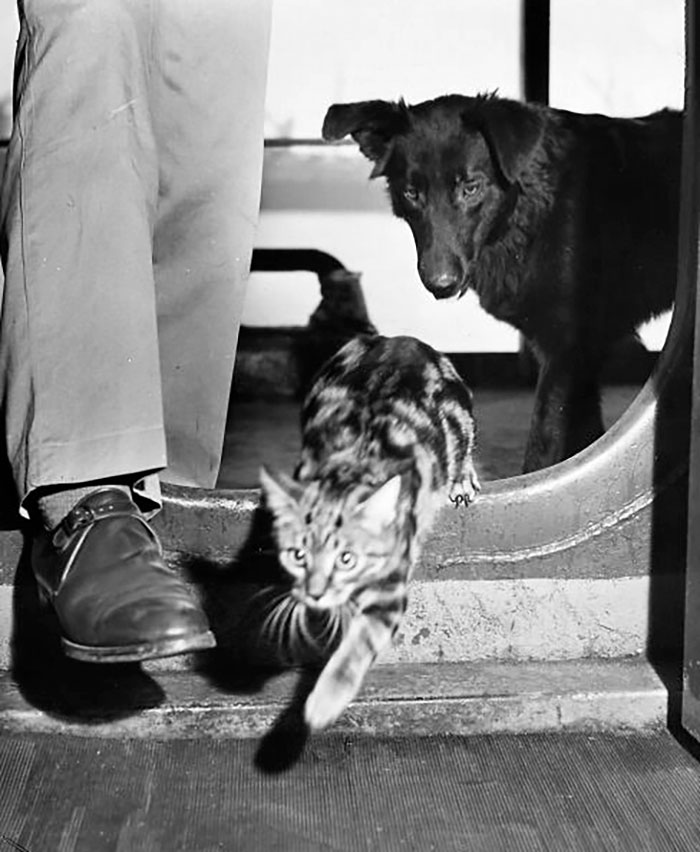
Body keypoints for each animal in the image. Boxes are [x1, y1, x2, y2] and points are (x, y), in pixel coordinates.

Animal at [260, 336, 478, 728]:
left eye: (347, 559)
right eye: (298, 556)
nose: (315, 593)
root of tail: (402, 340)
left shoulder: (392, 579)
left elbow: (360, 643)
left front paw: (323, 703)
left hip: (460, 416)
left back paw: (463, 479)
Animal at [322, 95, 680, 472]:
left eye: (471, 187)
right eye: (411, 193)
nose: (441, 283)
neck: (525, 213)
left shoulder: (565, 354)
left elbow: (544, 447)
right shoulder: (578, 359)